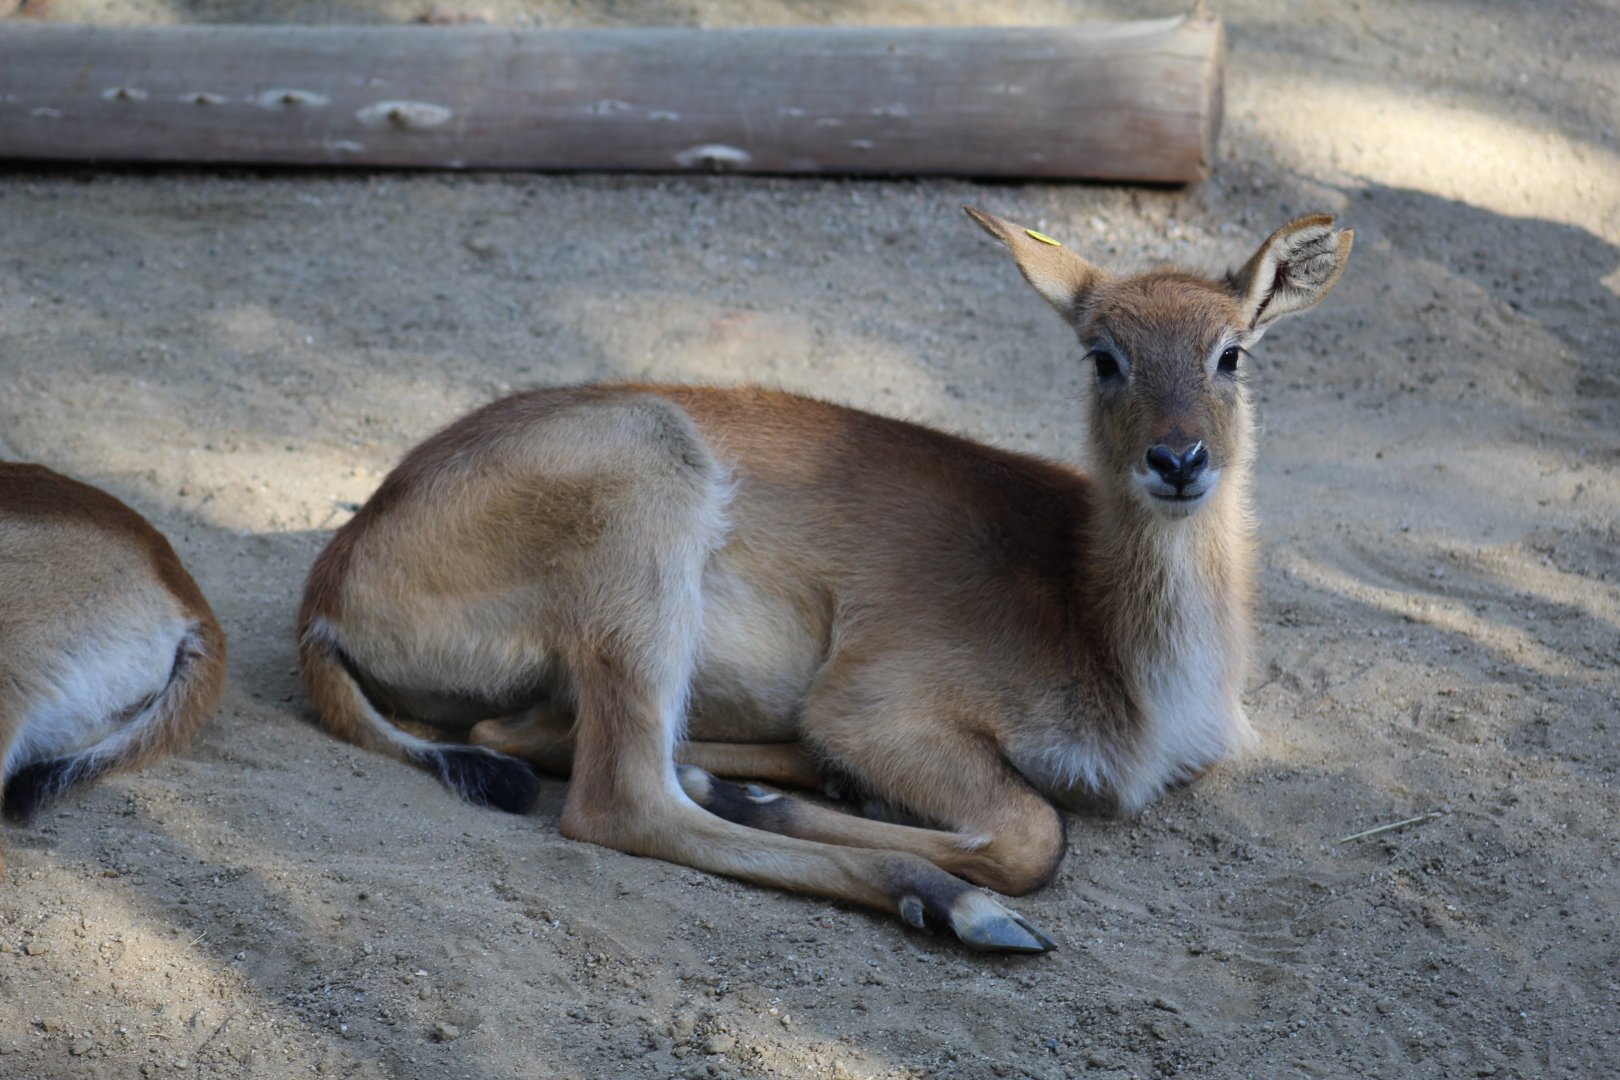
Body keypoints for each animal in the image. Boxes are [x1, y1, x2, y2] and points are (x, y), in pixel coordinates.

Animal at [296, 207, 1351, 951]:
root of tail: (327, 598)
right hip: (647, 507)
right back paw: (948, 905)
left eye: (1232, 352)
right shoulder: (879, 701)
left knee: (516, 737)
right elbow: (1032, 835)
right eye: (1104, 356)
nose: (1178, 460)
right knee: (618, 799)